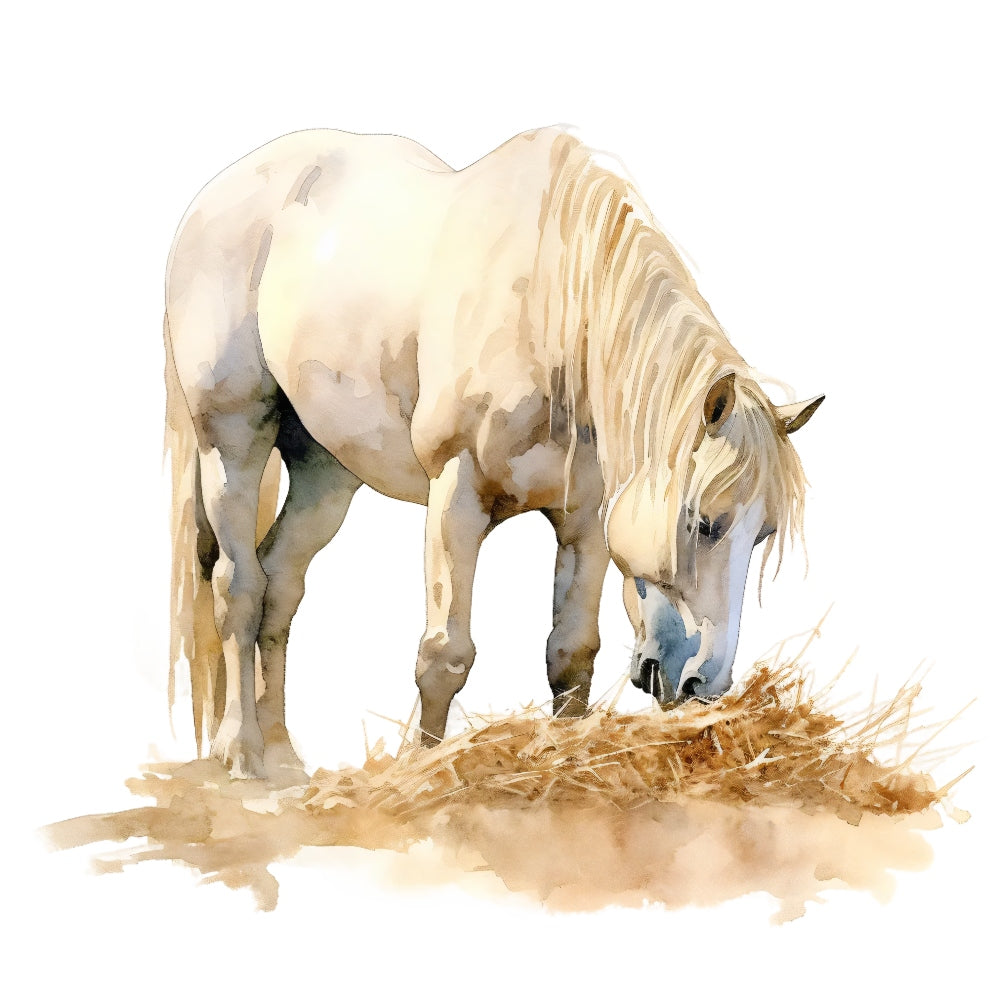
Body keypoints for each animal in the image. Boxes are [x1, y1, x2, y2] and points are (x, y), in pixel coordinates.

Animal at [164, 126, 823, 779]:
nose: (702, 683)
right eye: (705, 522)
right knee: (238, 586)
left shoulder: (585, 520)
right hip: (231, 442)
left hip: (326, 472)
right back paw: (242, 752)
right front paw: (425, 769)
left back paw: (282, 755)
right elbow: (444, 656)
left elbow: (571, 655)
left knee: (281, 582)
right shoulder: (456, 496)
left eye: (763, 534)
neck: (554, 318)